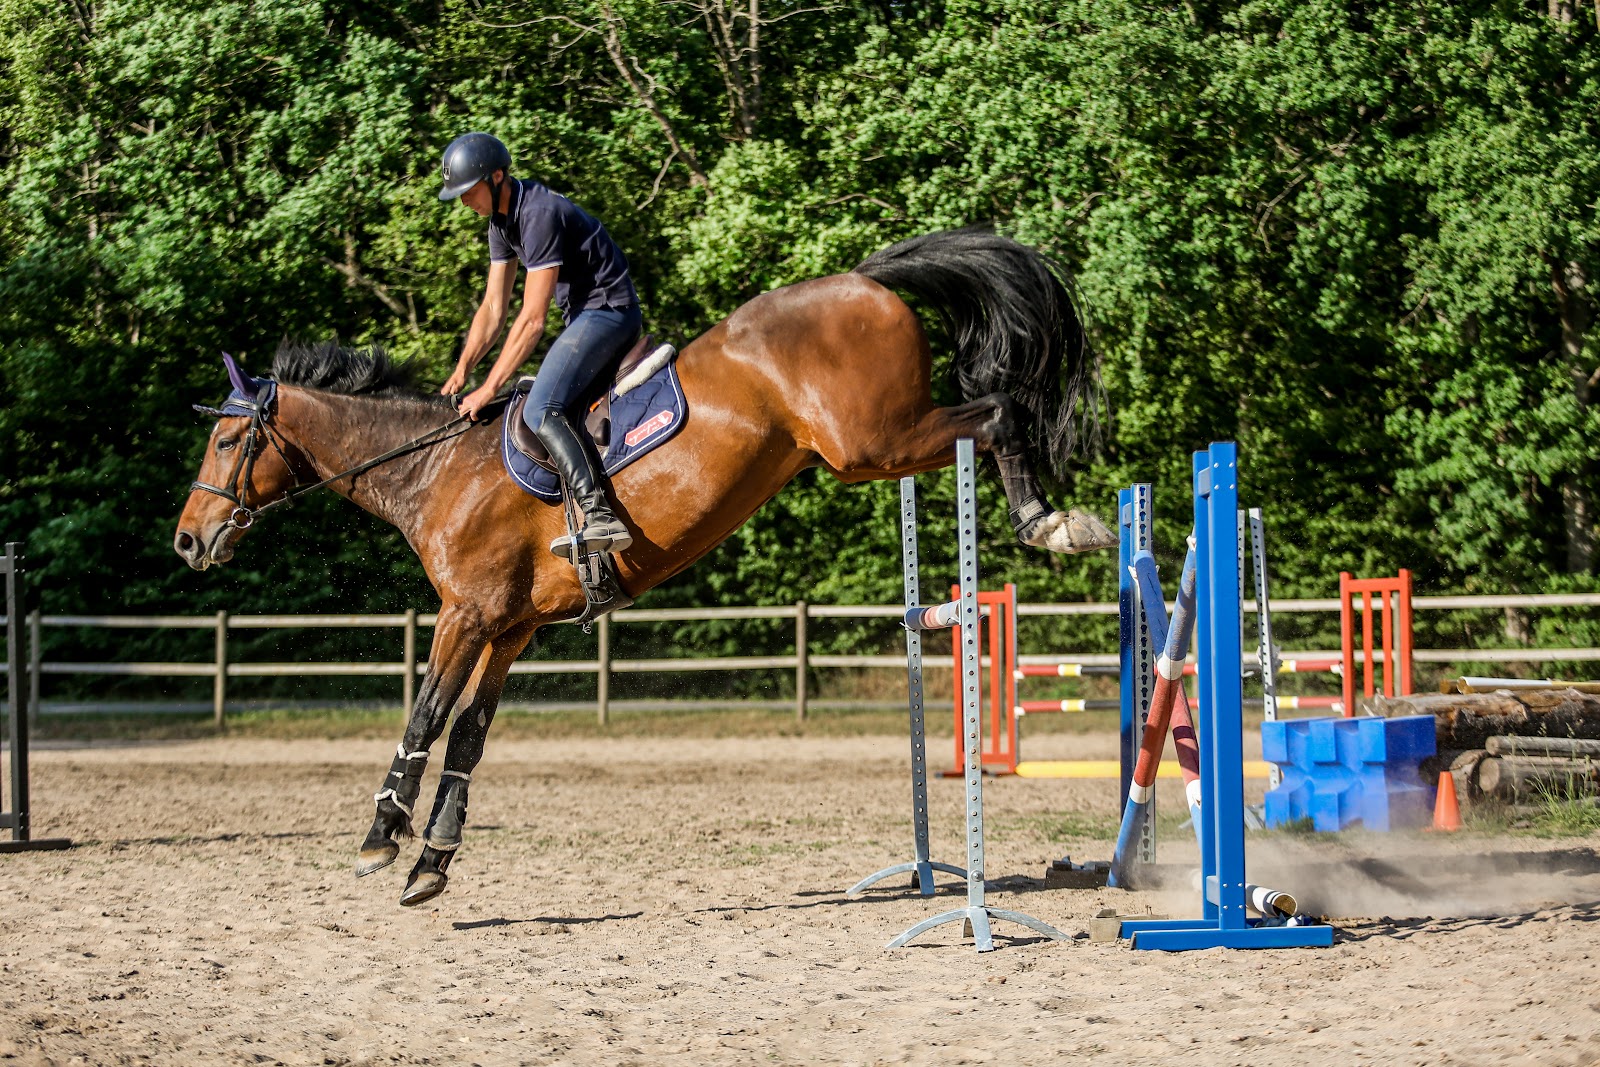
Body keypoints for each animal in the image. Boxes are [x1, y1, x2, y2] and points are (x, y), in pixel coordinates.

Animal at [173, 228, 1113, 908]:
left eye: (223, 441)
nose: (187, 541)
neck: (436, 467)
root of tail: (859, 276)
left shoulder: (466, 615)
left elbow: (426, 715)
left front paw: (382, 837)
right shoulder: (510, 628)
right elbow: (469, 733)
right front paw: (432, 860)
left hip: (870, 442)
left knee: (996, 412)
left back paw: (1052, 521)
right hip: (875, 445)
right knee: (991, 413)